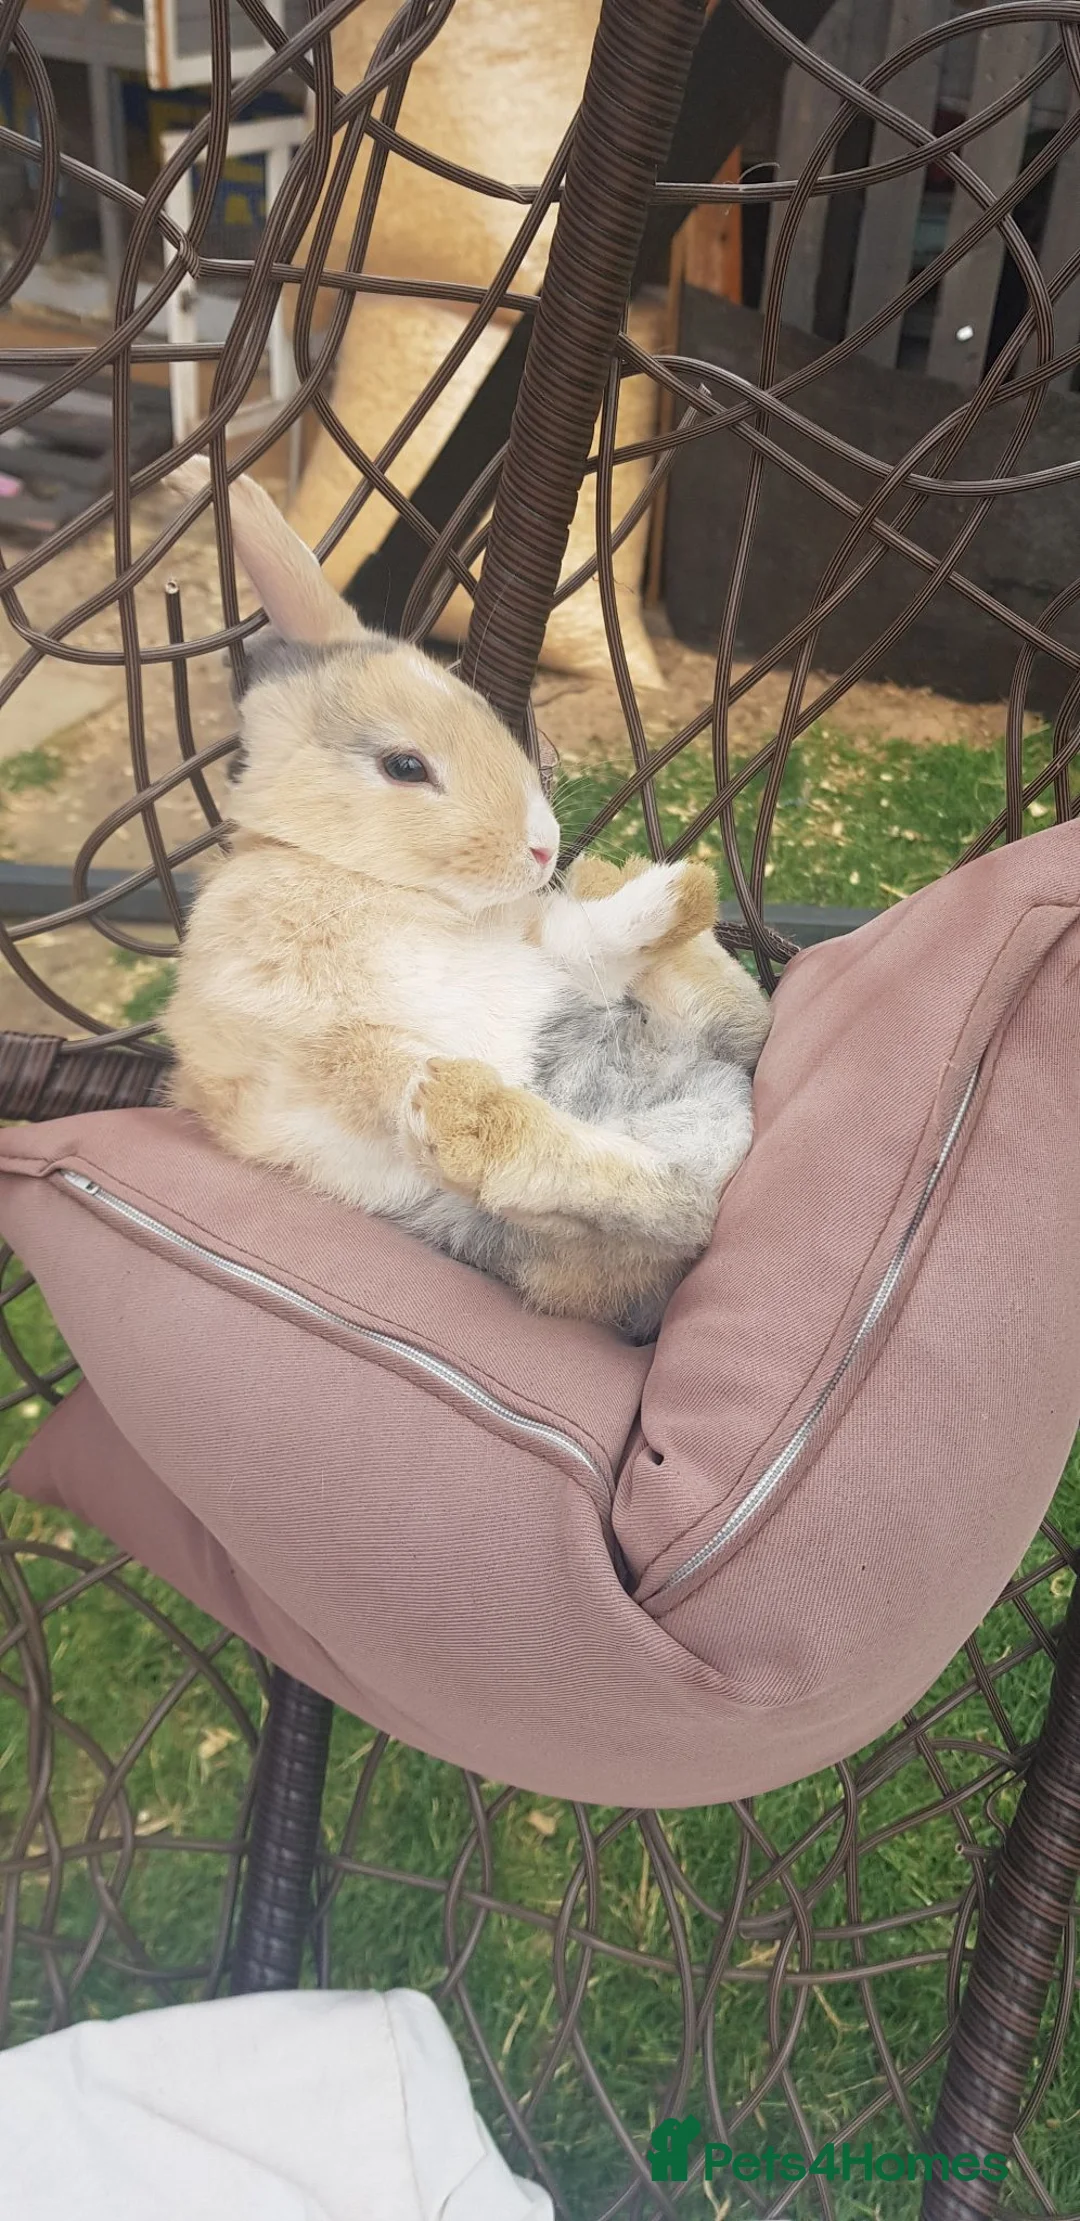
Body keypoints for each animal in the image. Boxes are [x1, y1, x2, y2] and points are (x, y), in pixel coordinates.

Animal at [165, 461, 772, 1338]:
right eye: (404, 766)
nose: (545, 845)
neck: (364, 879)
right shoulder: (301, 1039)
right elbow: (376, 1069)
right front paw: (429, 1087)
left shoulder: (528, 954)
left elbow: (581, 943)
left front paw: (664, 888)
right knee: (638, 1196)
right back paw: (469, 1111)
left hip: (698, 1097)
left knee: (669, 1178)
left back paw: (658, 891)